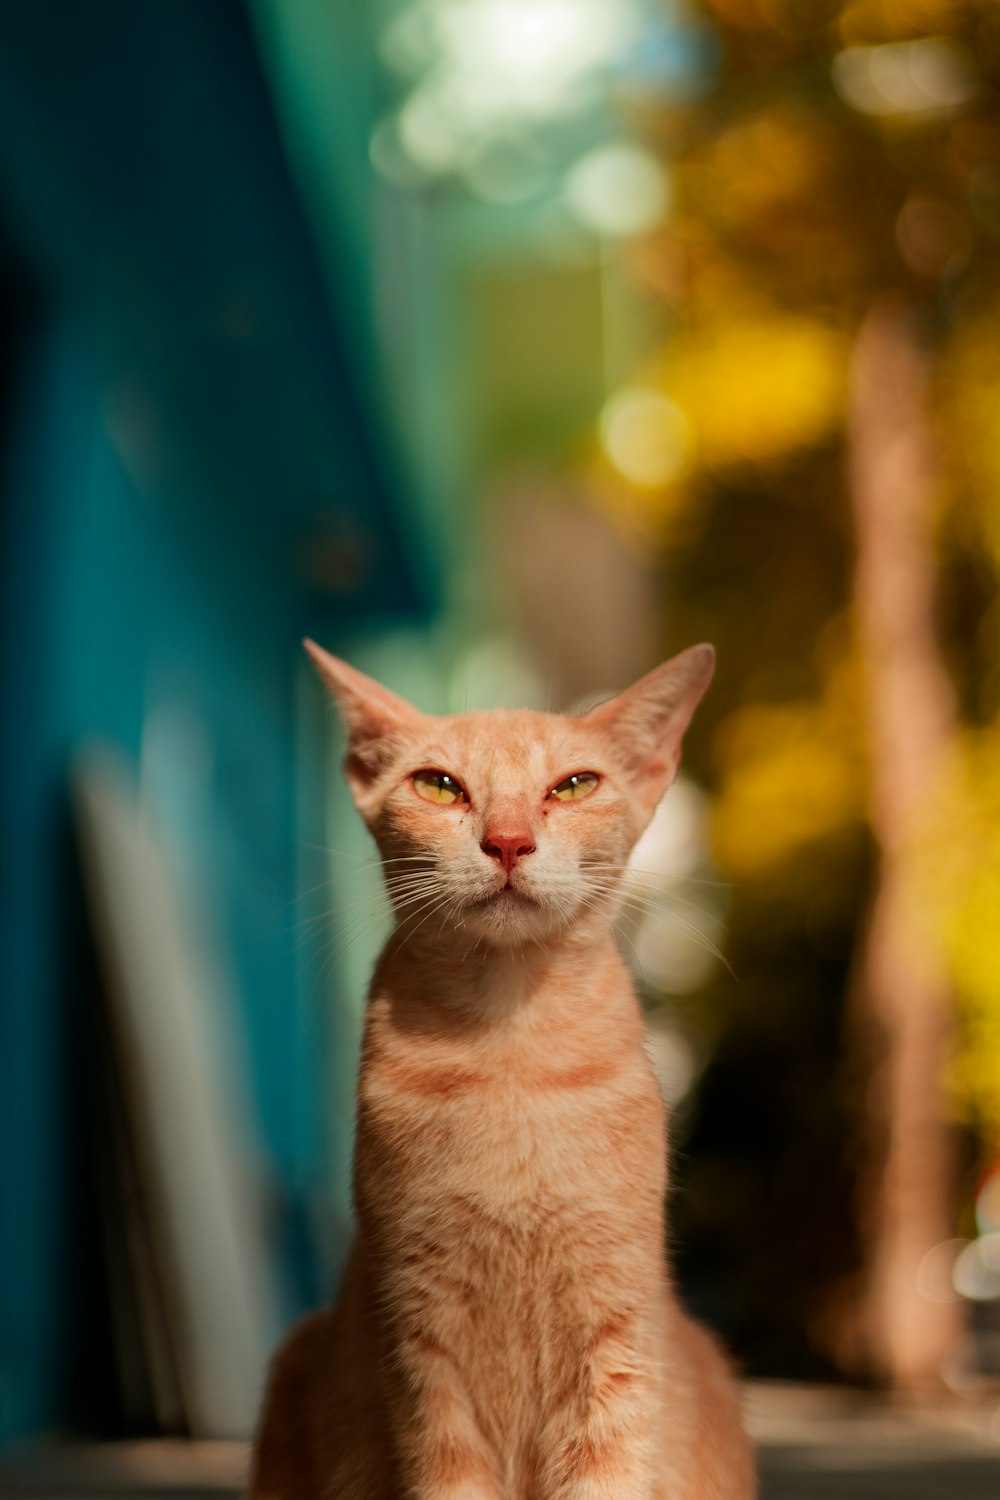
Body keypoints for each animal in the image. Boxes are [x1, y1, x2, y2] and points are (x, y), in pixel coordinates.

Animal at [251, 645, 758, 1500]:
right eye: (438, 785)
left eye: (574, 786)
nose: (509, 841)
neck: (508, 1049)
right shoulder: (418, 1330)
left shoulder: (617, 1330)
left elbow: (607, 1468)